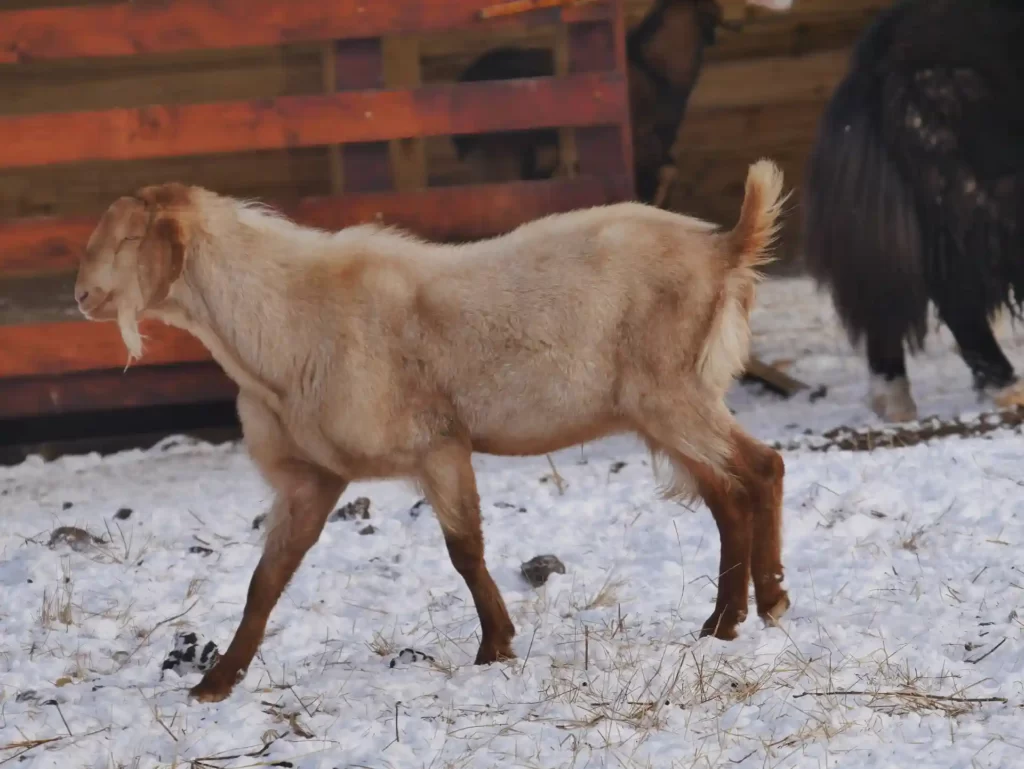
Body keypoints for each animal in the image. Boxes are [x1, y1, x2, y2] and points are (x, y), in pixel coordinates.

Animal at [74, 159, 791, 704]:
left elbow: (464, 550)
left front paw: (495, 645)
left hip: (674, 395)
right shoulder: (314, 477)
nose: (80, 296)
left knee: (763, 468)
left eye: (128, 240)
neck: (288, 320)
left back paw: (771, 603)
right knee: (729, 495)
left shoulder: (437, 445)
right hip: (663, 411)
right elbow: (266, 580)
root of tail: (725, 248)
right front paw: (216, 683)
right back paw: (723, 620)